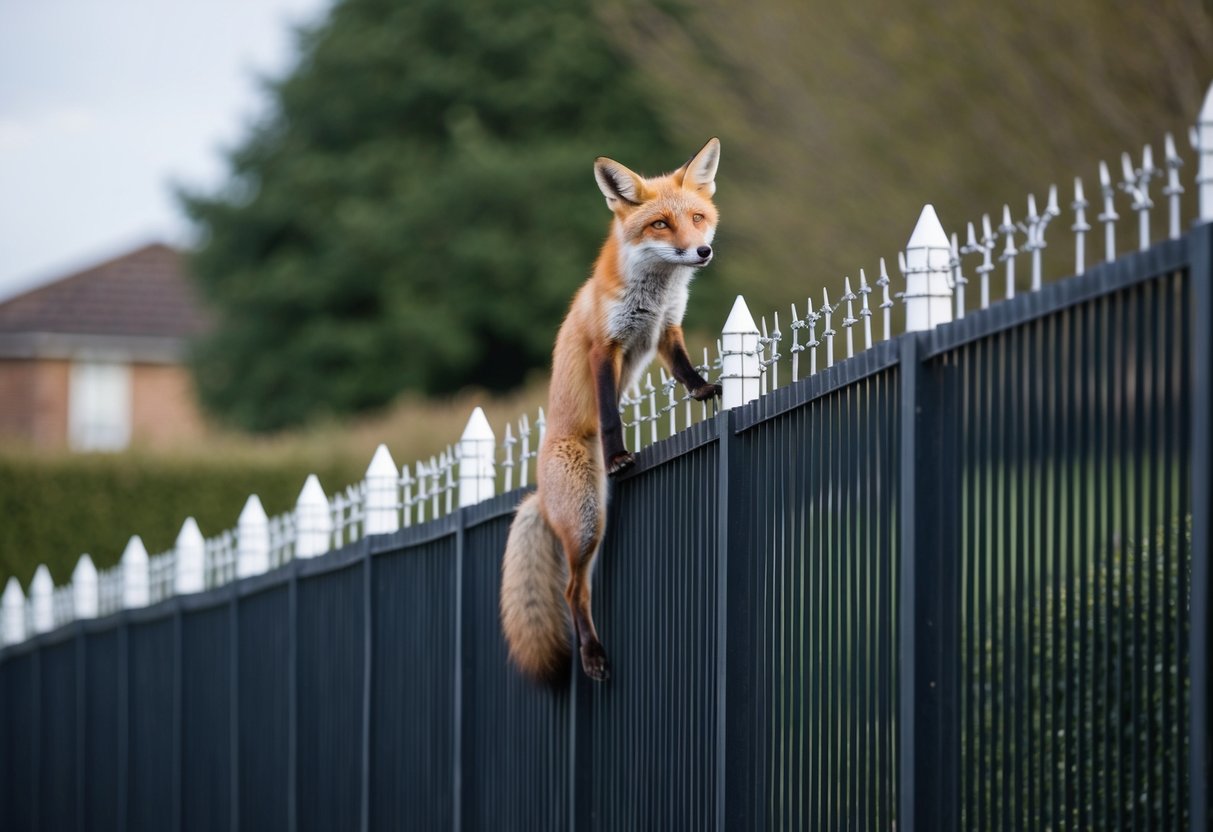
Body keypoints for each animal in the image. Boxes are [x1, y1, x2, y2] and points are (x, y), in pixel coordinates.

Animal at [499, 138, 722, 683]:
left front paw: (703, 390)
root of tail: (539, 491)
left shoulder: (666, 330)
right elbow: (608, 412)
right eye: (660, 224)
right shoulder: (606, 346)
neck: (656, 293)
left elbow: (684, 369)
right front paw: (619, 453)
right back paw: (592, 655)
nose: (702, 251)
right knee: (571, 591)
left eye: (698, 218)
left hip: (593, 523)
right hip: (585, 523)